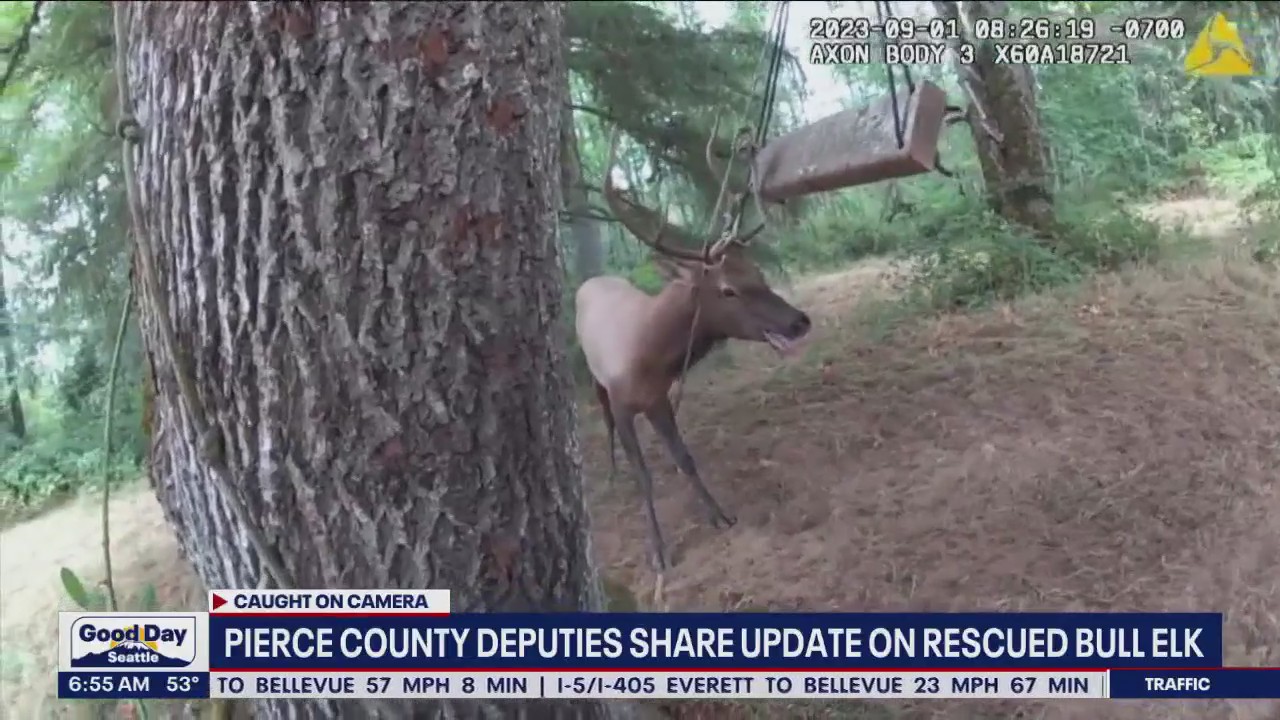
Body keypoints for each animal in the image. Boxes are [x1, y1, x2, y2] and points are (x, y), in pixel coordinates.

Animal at [574, 126, 813, 576]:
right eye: (728, 290)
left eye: (758, 272)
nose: (799, 321)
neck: (648, 358)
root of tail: (589, 282)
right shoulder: (622, 401)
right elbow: (642, 475)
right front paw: (657, 550)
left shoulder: (659, 399)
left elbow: (685, 457)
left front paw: (718, 514)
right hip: (594, 379)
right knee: (605, 423)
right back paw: (612, 472)